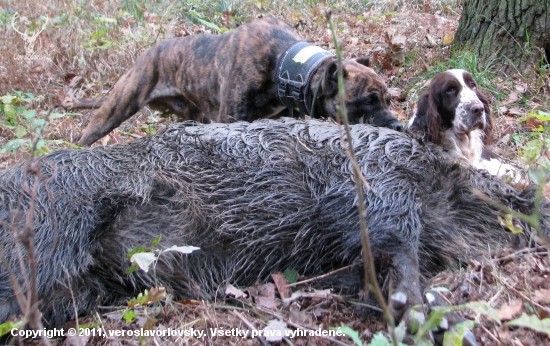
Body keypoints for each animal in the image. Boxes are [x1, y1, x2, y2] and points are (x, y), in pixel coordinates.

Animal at [68, 16, 406, 146]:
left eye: (390, 99)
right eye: (368, 101)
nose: (398, 125)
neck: (286, 65)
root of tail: (147, 54)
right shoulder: (231, 120)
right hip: (115, 109)